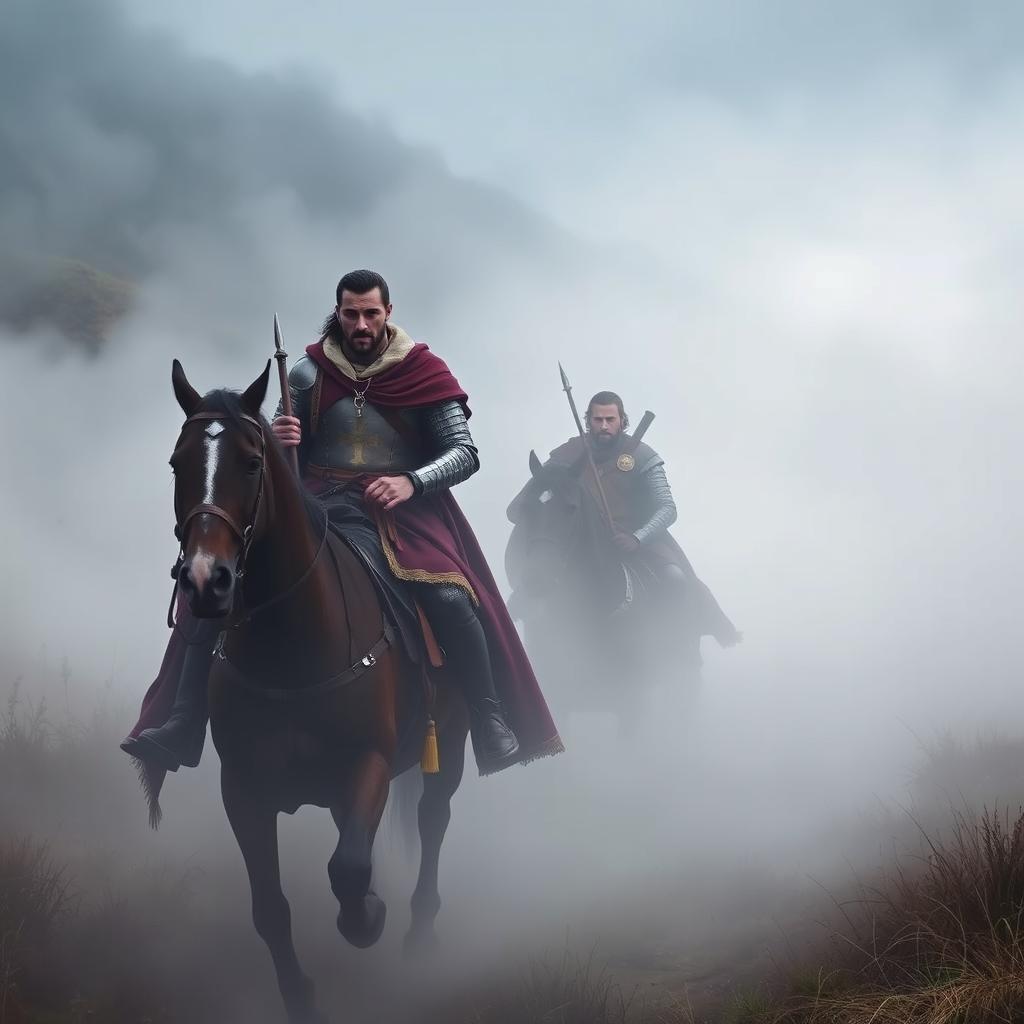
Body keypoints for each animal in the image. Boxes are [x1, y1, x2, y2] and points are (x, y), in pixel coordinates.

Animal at [168, 360, 471, 1024]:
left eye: (251, 463)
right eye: (177, 463)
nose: (205, 580)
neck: (295, 646)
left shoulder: (370, 761)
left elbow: (350, 868)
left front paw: (370, 917)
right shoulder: (244, 787)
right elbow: (270, 906)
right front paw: (300, 997)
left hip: (450, 745)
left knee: (434, 819)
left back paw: (420, 934)